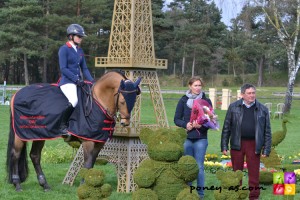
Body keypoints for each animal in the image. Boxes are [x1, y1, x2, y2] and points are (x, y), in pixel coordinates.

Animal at [5, 70, 141, 191]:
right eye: (122, 101)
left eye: (134, 100)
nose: (125, 123)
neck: (97, 101)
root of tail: (17, 93)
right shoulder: (88, 142)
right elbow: (87, 164)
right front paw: (84, 186)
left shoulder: (99, 142)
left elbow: (92, 163)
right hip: (20, 135)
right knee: (15, 154)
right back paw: (17, 184)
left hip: (40, 134)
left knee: (35, 156)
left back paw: (45, 185)